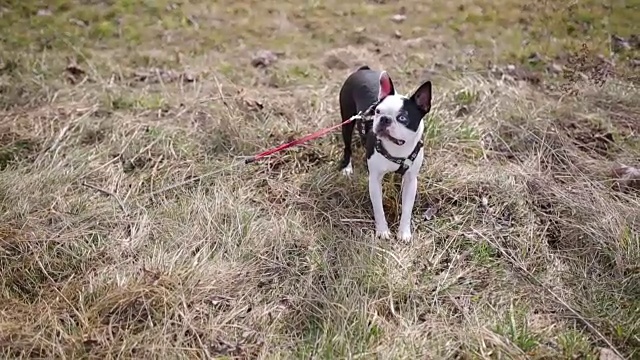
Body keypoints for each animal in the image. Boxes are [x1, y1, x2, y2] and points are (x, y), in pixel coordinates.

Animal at [338, 66, 432, 243]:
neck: (397, 148)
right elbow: (379, 208)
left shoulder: (411, 181)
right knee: (347, 146)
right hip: (347, 119)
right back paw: (346, 167)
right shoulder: (375, 180)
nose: (384, 119)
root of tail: (364, 69)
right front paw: (382, 231)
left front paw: (404, 233)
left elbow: (407, 209)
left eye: (402, 118)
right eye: (377, 111)